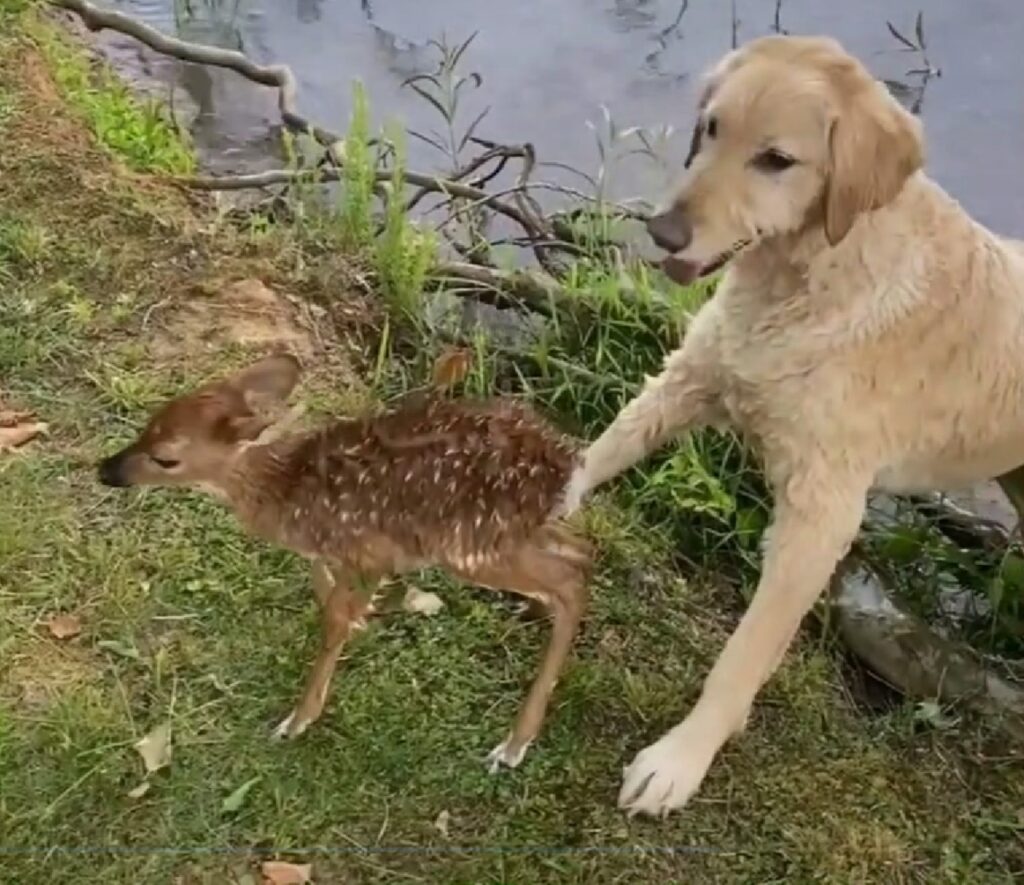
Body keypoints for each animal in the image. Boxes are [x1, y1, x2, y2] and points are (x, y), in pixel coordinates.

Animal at [565, 36, 1024, 823]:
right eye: (711, 128)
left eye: (776, 159)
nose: (663, 232)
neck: (814, 274)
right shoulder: (693, 375)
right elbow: (598, 452)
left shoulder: (820, 516)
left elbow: (742, 654)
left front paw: (680, 760)